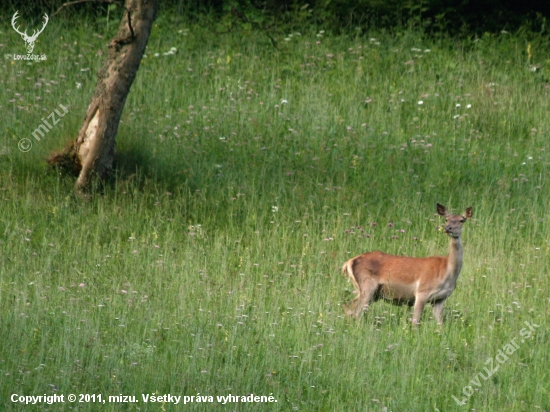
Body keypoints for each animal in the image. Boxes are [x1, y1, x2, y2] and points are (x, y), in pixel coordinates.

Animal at [340, 203, 474, 326]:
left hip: (370, 292)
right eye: (446, 219)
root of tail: (349, 262)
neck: (447, 271)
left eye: (462, 220)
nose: (448, 228)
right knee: (355, 311)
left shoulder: (440, 299)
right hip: (367, 285)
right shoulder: (422, 292)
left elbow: (440, 324)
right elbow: (415, 322)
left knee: (348, 306)